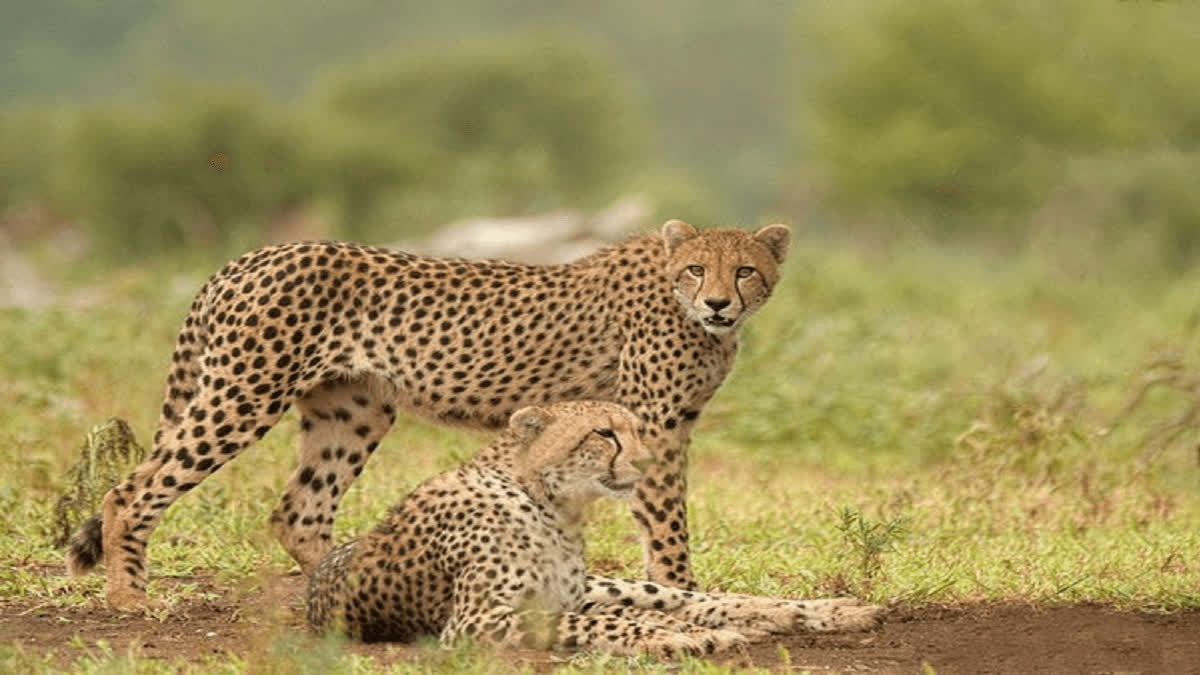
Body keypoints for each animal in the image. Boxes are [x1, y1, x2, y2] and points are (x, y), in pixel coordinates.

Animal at [65, 218, 787, 607]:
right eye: (697, 270)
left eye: (746, 271)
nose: (718, 303)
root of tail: (252, 255)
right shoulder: (655, 423)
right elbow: (666, 524)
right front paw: (683, 590)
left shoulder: (669, 423)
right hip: (243, 393)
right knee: (132, 490)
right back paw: (129, 598)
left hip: (355, 409)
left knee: (300, 511)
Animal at [300, 398, 883, 653]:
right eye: (604, 433)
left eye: (637, 430)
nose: (647, 462)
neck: (552, 504)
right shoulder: (478, 621)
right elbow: (608, 624)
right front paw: (686, 638)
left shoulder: (563, 597)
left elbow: (628, 616)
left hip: (608, 582)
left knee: (690, 596)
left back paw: (827, 611)